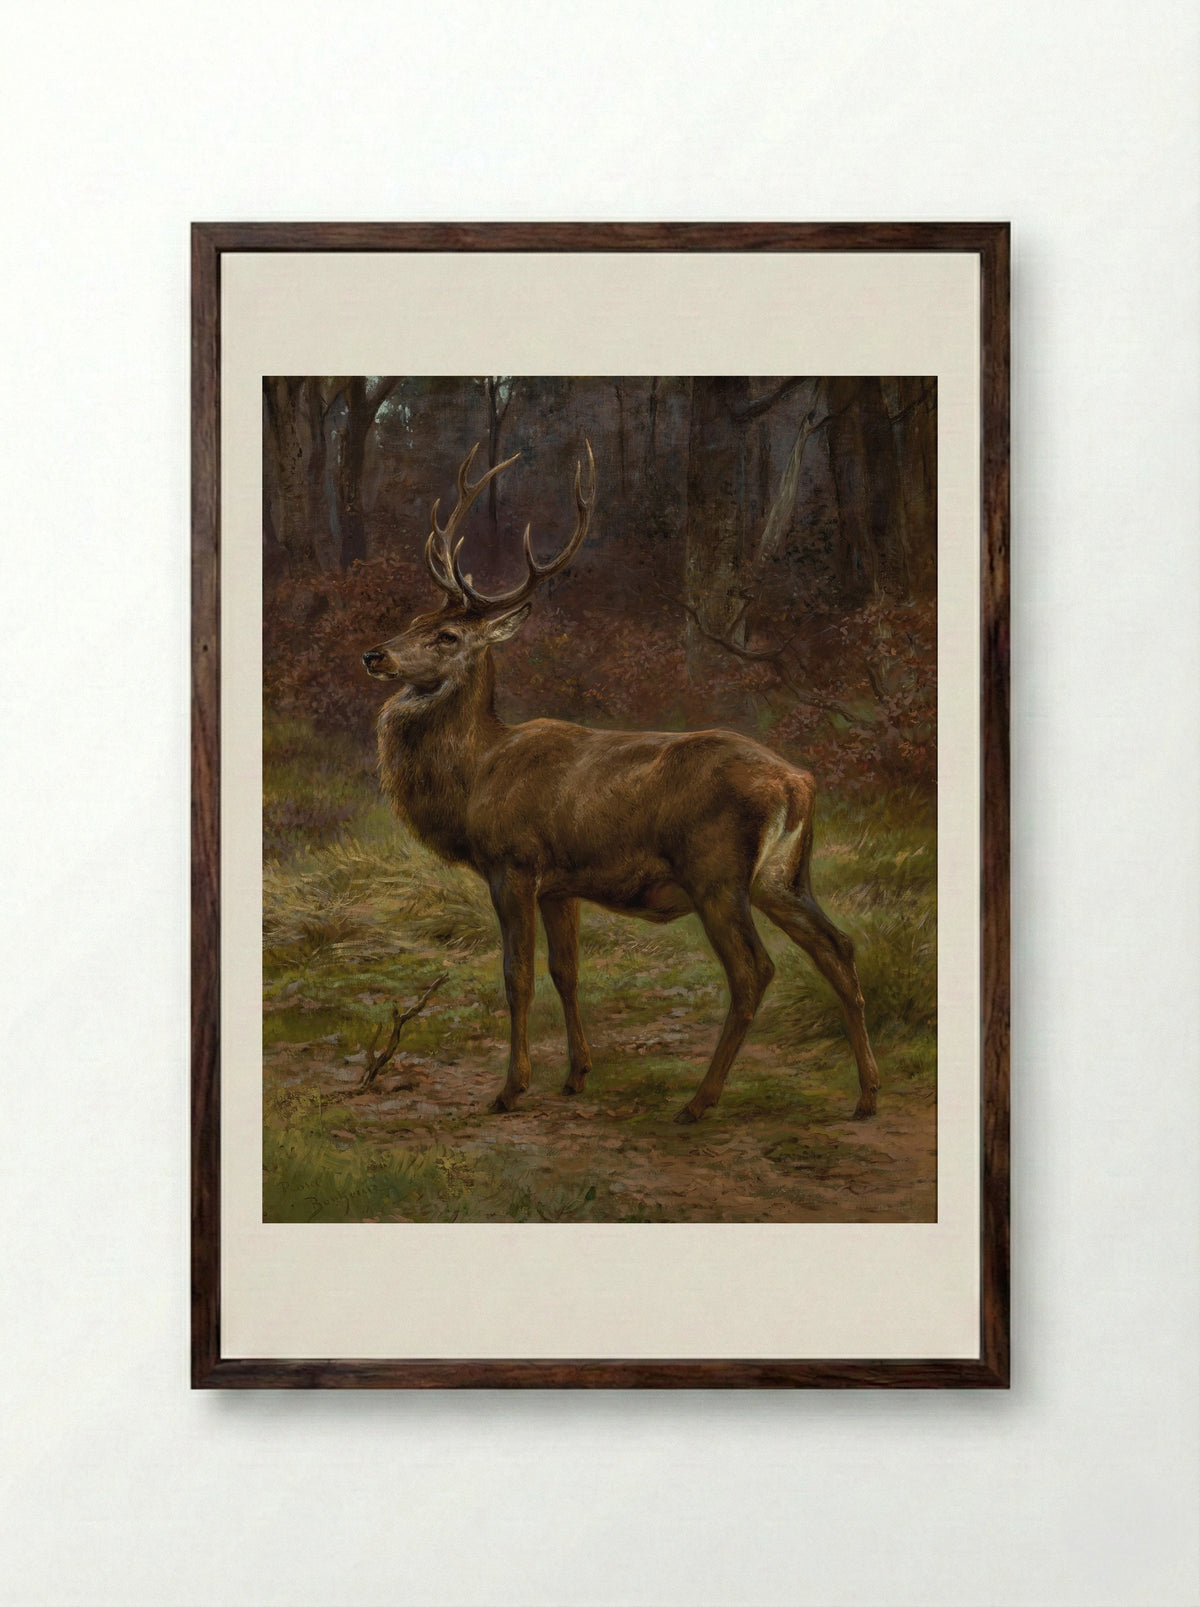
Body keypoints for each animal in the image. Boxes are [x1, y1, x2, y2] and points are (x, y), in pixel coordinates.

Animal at [362, 443, 880, 1124]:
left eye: (446, 635)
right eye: (414, 618)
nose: (375, 655)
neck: (477, 775)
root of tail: (798, 783)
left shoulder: (513, 863)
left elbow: (517, 976)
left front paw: (510, 1089)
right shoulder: (559, 884)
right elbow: (567, 972)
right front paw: (577, 1075)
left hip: (716, 871)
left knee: (754, 971)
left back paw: (699, 1101)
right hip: (785, 876)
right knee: (838, 949)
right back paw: (867, 1096)